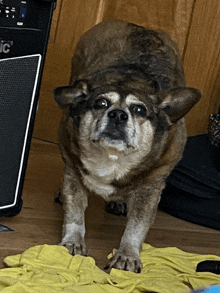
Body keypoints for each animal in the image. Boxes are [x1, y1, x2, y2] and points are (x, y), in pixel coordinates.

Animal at [53, 20, 201, 272]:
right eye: (101, 103)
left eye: (139, 110)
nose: (118, 115)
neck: (113, 159)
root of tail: (140, 25)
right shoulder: (73, 172)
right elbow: (74, 214)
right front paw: (72, 242)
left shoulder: (150, 189)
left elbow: (137, 226)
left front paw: (127, 255)